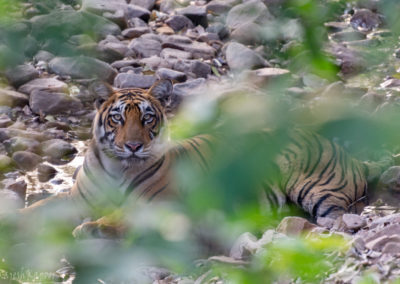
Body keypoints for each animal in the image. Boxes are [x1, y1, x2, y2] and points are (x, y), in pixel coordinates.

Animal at [17, 79, 390, 236]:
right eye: (117, 119)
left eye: (147, 118)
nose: (134, 146)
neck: (117, 166)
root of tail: (349, 155)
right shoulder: (75, 199)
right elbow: (39, 209)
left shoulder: (160, 205)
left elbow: (122, 217)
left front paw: (91, 229)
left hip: (318, 192)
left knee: (338, 218)